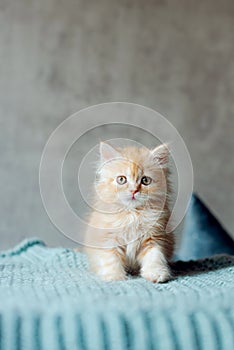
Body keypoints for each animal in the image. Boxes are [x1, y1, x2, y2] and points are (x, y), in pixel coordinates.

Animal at [83, 142, 174, 282]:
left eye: (145, 180)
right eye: (121, 180)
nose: (133, 191)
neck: (132, 214)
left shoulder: (154, 237)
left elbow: (154, 257)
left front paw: (156, 273)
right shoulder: (108, 238)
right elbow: (111, 259)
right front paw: (114, 276)